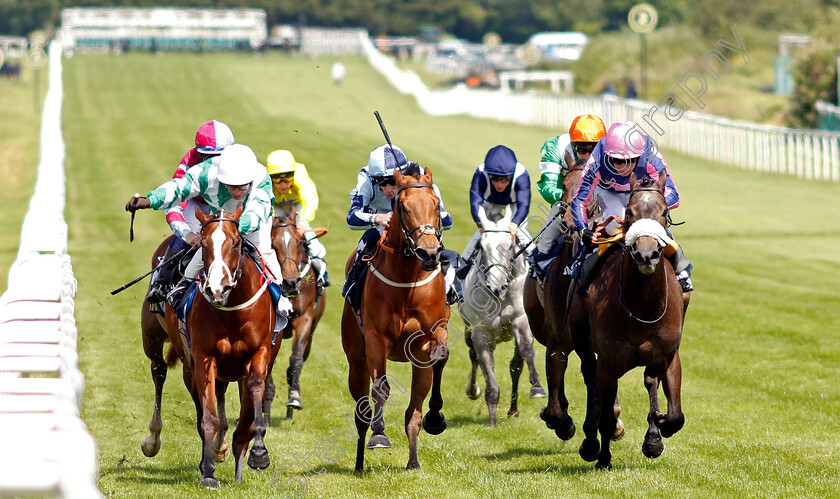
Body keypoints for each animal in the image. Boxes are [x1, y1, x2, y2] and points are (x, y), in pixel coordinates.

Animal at [266, 211, 328, 422]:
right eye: (272, 244)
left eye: (300, 242)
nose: (291, 282)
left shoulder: (304, 320)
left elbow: (296, 359)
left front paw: (294, 397)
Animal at [340, 165, 450, 472]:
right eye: (403, 206)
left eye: (436, 204)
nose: (429, 252)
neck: (407, 283)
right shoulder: (376, 340)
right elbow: (381, 388)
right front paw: (379, 435)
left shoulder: (428, 340)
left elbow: (435, 367)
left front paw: (433, 422)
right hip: (356, 358)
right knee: (362, 408)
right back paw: (360, 461)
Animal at [460, 205, 544, 428]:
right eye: (481, 247)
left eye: (509, 246)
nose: (496, 287)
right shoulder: (480, 334)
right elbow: (489, 377)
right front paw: (491, 420)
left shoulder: (521, 320)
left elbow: (525, 352)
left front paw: (537, 387)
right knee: (472, 355)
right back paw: (472, 390)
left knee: (516, 367)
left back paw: (513, 410)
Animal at [572, 174, 688, 470]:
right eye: (629, 213)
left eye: (664, 212)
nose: (647, 255)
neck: (643, 305)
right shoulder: (608, 361)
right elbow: (605, 414)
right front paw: (603, 458)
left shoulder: (668, 355)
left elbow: (675, 415)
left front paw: (658, 429)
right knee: (591, 377)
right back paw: (591, 443)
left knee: (649, 381)